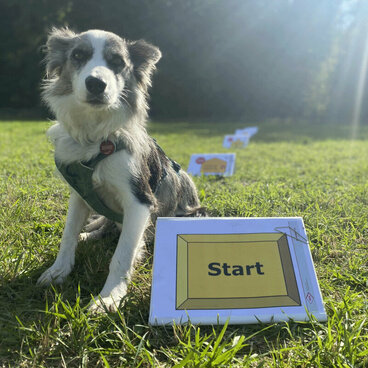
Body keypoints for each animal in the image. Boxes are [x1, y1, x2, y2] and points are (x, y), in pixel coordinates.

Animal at [38, 27, 201, 312]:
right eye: (78, 56)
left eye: (117, 62)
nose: (96, 83)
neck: (97, 137)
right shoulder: (79, 194)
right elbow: (68, 235)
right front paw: (58, 271)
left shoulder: (140, 201)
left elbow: (122, 254)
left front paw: (109, 297)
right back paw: (89, 234)